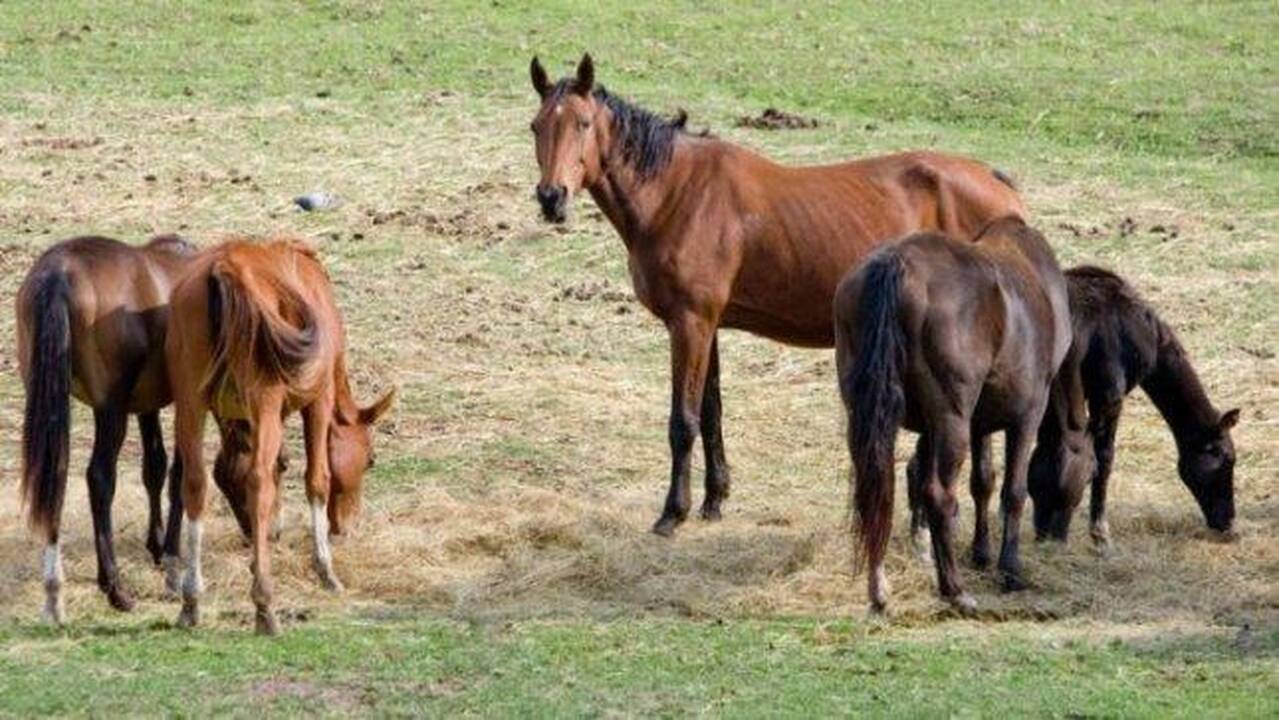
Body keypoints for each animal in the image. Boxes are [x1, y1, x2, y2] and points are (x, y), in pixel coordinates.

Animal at [167, 237, 391, 636]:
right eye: (370, 461)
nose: (347, 527)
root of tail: (226, 266)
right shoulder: (318, 401)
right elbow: (315, 479)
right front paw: (325, 568)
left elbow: (257, 468)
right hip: (265, 401)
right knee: (258, 480)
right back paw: (264, 604)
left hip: (190, 403)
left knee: (195, 482)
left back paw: (191, 600)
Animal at [524, 54, 1023, 534]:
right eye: (537, 126)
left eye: (583, 124)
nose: (552, 197)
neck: (677, 193)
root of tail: (998, 184)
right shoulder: (708, 325)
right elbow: (711, 410)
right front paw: (714, 500)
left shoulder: (689, 323)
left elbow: (683, 421)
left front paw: (673, 513)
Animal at [833, 217, 1094, 611]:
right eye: (1091, 472)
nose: (1054, 537)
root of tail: (897, 264)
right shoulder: (1026, 416)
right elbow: (1013, 491)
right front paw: (1009, 569)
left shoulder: (974, 424)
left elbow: (981, 481)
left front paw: (981, 552)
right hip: (951, 419)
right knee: (938, 494)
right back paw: (954, 589)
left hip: (871, 418)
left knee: (877, 489)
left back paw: (879, 589)